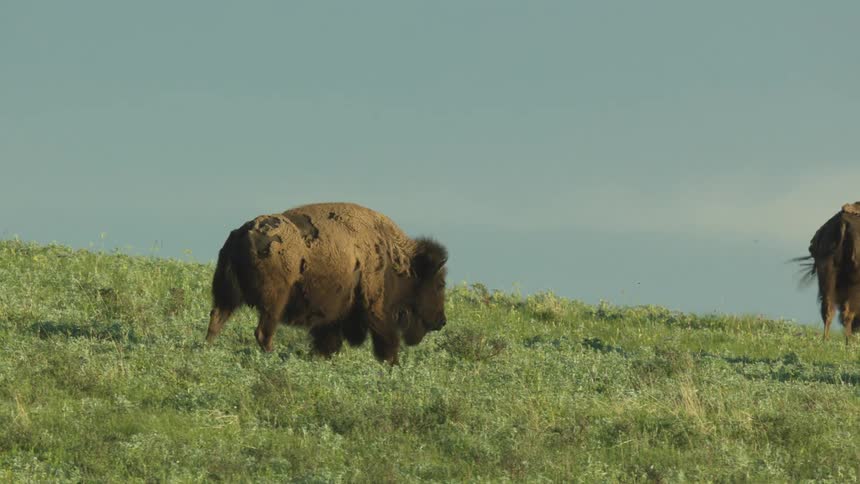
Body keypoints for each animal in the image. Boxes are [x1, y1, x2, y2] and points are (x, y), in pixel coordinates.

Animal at [205, 202, 449, 363]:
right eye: (439, 284)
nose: (441, 321)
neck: (394, 256)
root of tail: (241, 234)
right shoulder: (376, 309)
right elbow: (387, 342)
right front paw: (393, 364)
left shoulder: (331, 318)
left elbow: (329, 342)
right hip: (274, 301)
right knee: (263, 332)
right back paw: (271, 358)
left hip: (227, 296)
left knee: (216, 320)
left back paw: (207, 349)